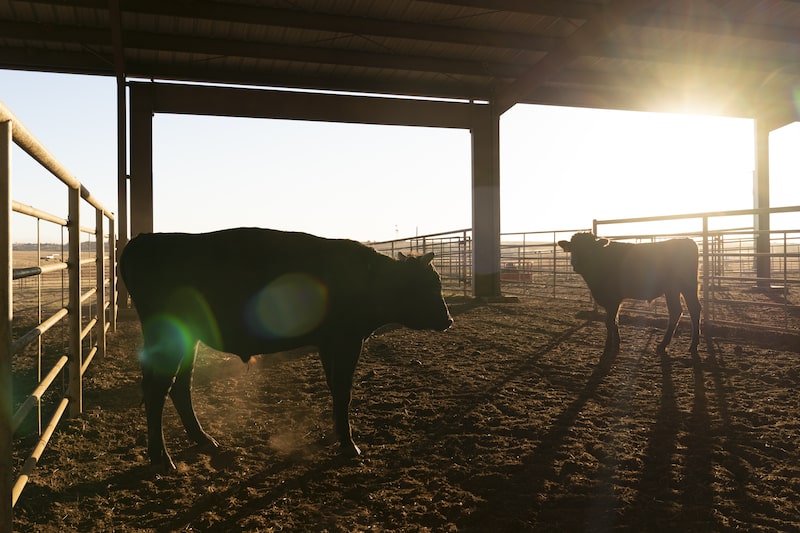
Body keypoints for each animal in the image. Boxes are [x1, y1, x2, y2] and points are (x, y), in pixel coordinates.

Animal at [119, 227, 453, 471]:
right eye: (426, 285)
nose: (448, 319)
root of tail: (146, 240)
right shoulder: (347, 341)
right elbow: (344, 390)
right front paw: (350, 445)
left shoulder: (328, 343)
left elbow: (335, 388)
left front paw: (337, 434)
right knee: (157, 389)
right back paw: (162, 460)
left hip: (189, 340)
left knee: (180, 386)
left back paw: (203, 440)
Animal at [558, 232, 701, 356]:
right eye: (573, 248)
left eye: (590, 248)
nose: (577, 264)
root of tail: (687, 240)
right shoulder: (611, 302)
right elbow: (615, 320)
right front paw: (616, 344)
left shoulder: (613, 299)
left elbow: (609, 322)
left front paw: (608, 346)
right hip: (678, 289)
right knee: (685, 310)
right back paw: (684, 345)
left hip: (680, 287)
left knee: (685, 311)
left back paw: (675, 345)